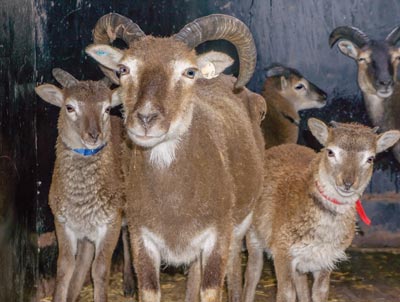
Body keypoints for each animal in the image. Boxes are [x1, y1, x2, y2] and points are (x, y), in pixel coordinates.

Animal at [34, 70, 133, 302]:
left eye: (107, 108)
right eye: (69, 107)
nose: (94, 135)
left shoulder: (110, 222)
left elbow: (100, 269)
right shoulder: (63, 222)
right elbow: (65, 267)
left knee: (128, 236)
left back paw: (129, 283)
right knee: (83, 260)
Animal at [86, 13, 264, 302]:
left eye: (189, 72)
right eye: (123, 69)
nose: (146, 119)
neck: (173, 202)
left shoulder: (218, 235)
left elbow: (211, 289)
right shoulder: (142, 238)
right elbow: (150, 290)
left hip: (240, 225)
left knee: (234, 266)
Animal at [241, 118, 400, 302]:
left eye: (370, 158)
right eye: (330, 152)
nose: (347, 183)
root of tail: (278, 147)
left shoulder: (326, 258)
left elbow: (320, 292)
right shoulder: (282, 251)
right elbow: (286, 293)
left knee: (301, 284)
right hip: (253, 235)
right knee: (252, 273)